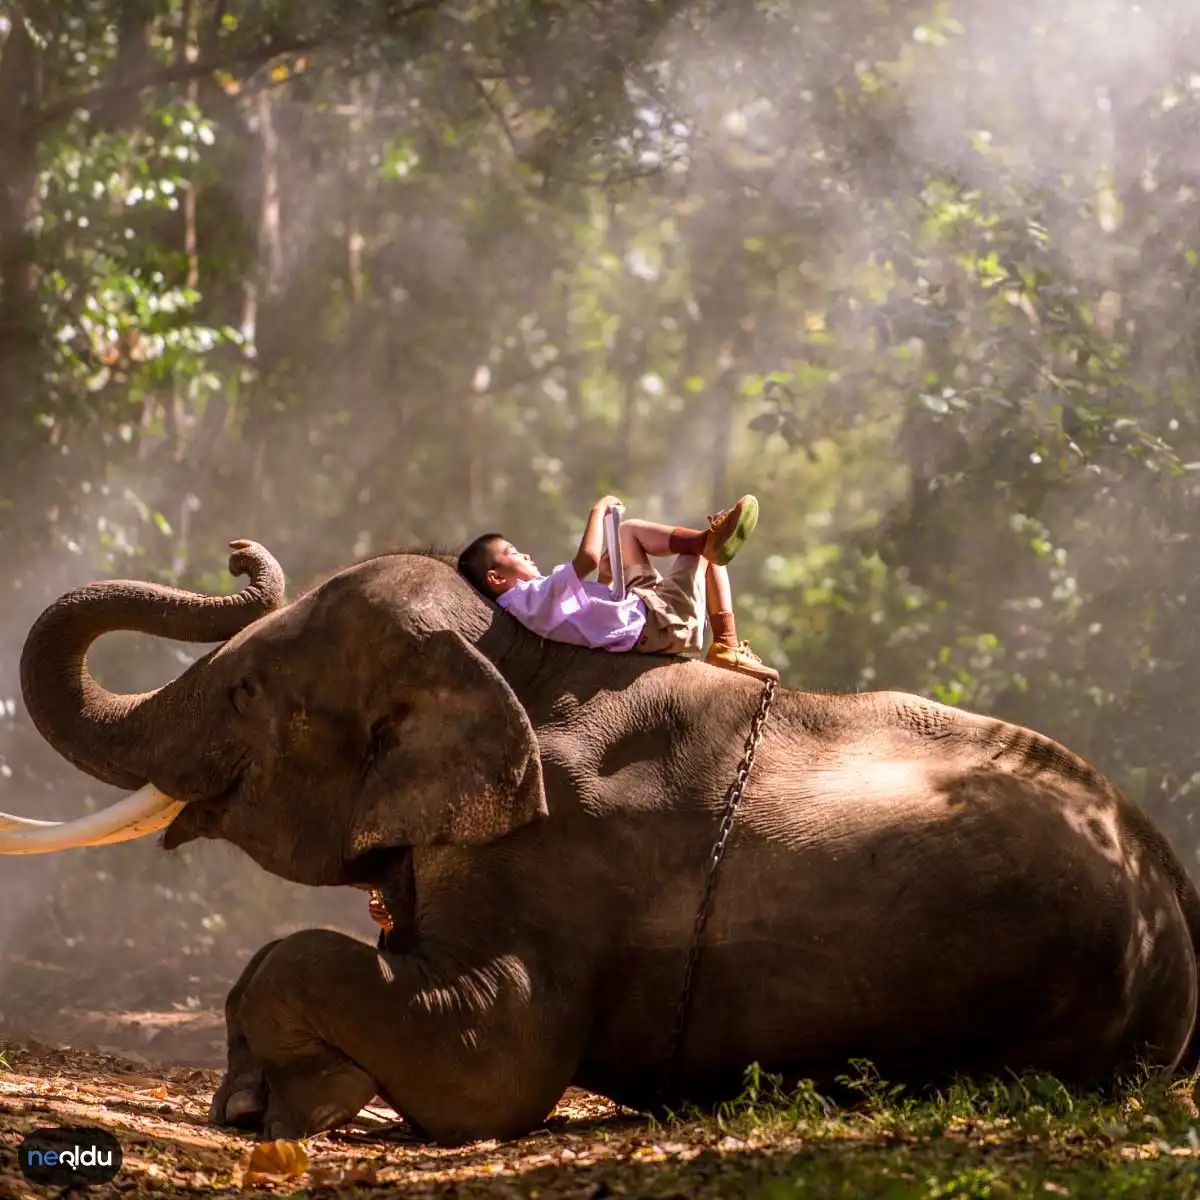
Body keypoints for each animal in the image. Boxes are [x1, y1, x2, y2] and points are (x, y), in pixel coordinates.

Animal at [7, 542, 1200, 1142]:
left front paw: (279, 1106)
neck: (513, 660)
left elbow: (497, 1065)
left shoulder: (566, 848)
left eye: (248, 693)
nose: (238, 552)